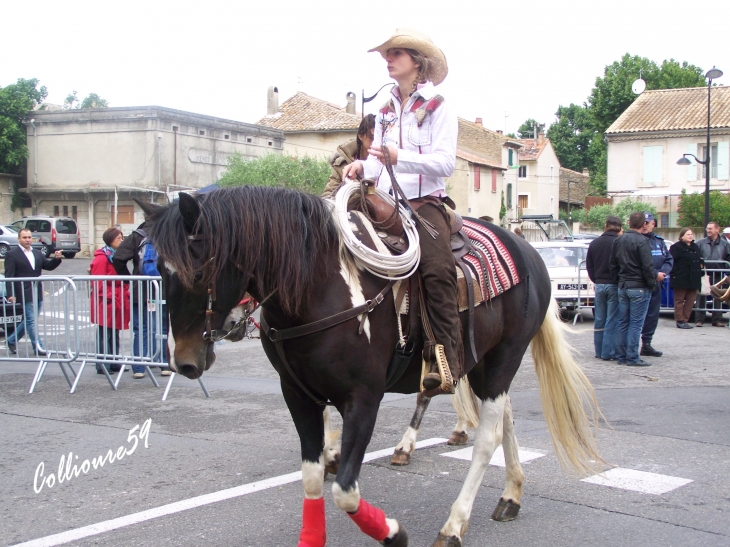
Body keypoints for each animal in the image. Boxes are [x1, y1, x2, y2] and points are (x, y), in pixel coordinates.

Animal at [139, 188, 600, 547]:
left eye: (200, 270)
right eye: (159, 268)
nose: (184, 361)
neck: (319, 286)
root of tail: (529, 253)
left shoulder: (363, 399)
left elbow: (345, 490)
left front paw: (393, 533)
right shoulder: (298, 396)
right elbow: (312, 477)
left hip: (504, 356)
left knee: (487, 437)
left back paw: (454, 524)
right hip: (485, 365)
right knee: (505, 420)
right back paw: (510, 495)